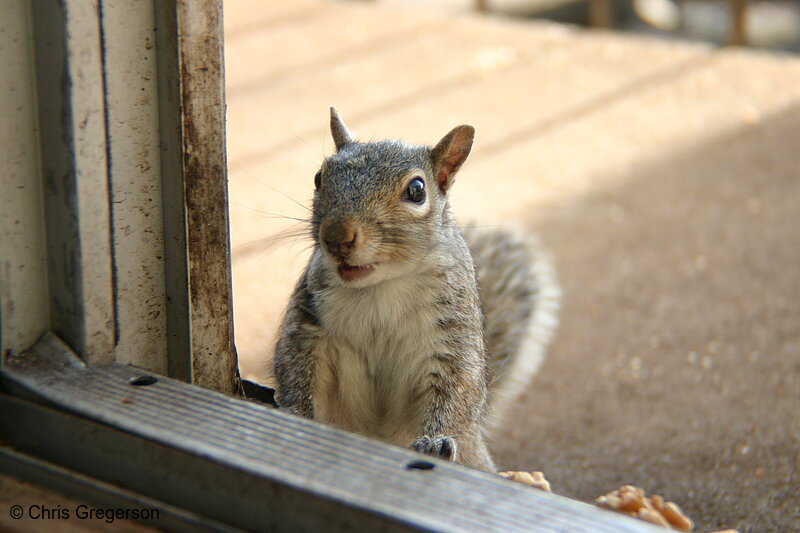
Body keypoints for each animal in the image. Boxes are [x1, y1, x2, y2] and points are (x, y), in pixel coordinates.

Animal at [272, 107, 560, 470]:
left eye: (416, 191)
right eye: (318, 178)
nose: (337, 237)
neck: (380, 287)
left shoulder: (452, 335)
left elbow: (456, 389)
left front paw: (435, 441)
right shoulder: (308, 325)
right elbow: (294, 369)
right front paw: (296, 414)